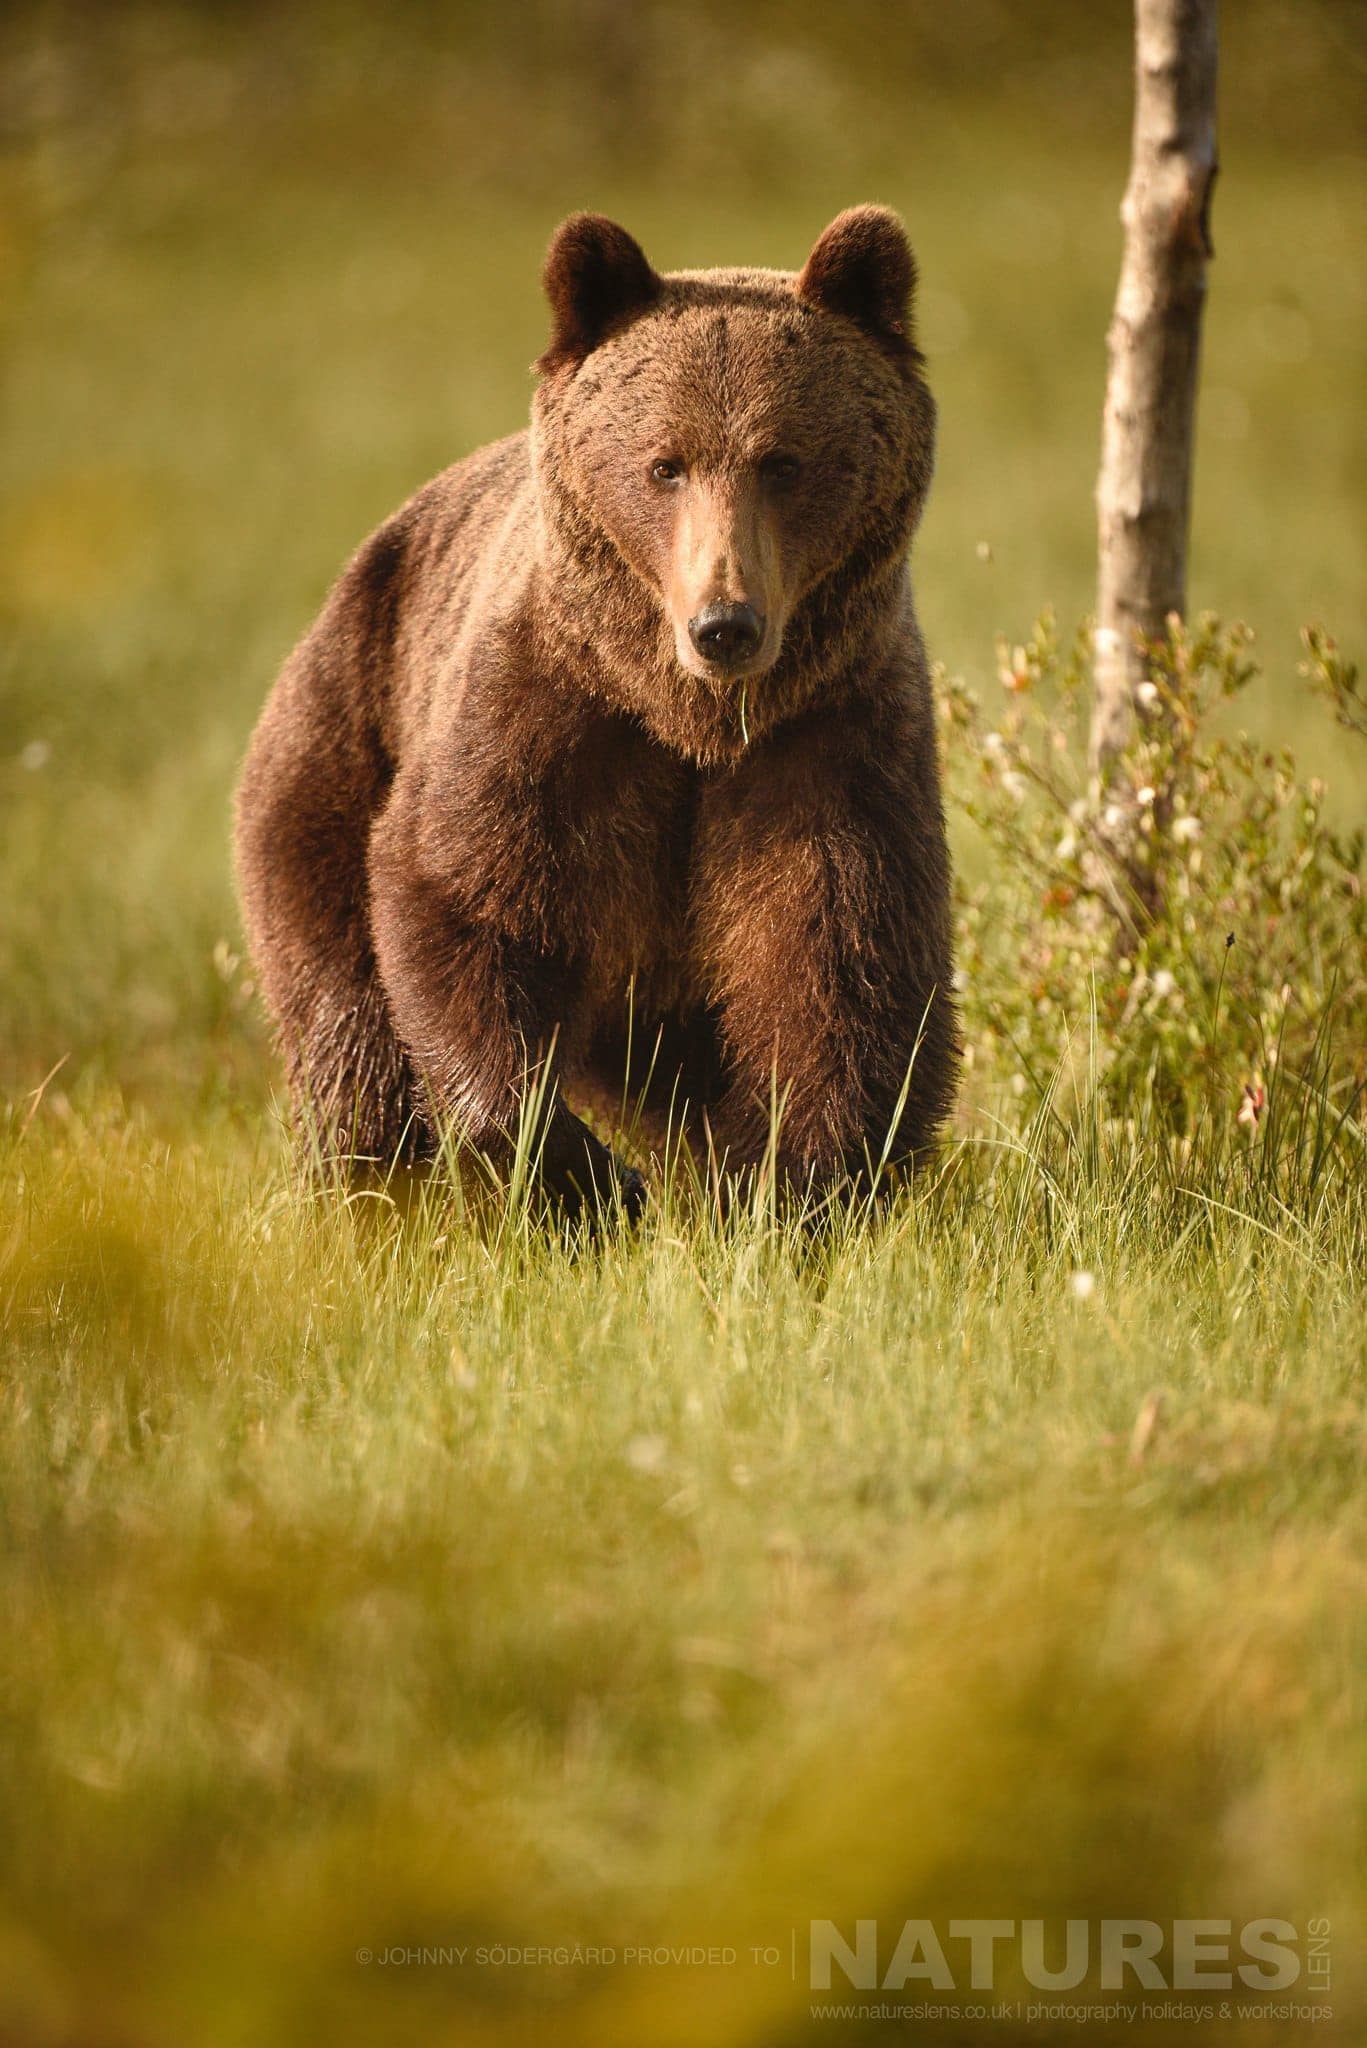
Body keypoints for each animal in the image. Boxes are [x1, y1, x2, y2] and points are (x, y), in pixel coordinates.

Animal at [234, 206, 958, 1214]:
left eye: (783, 461)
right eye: (663, 464)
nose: (724, 624)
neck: (687, 717)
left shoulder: (830, 733)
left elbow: (839, 954)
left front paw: (782, 1182)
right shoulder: (550, 716)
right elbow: (464, 899)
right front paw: (586, 1183)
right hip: (334, 743)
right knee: (349, 1030)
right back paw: (375, 1195)